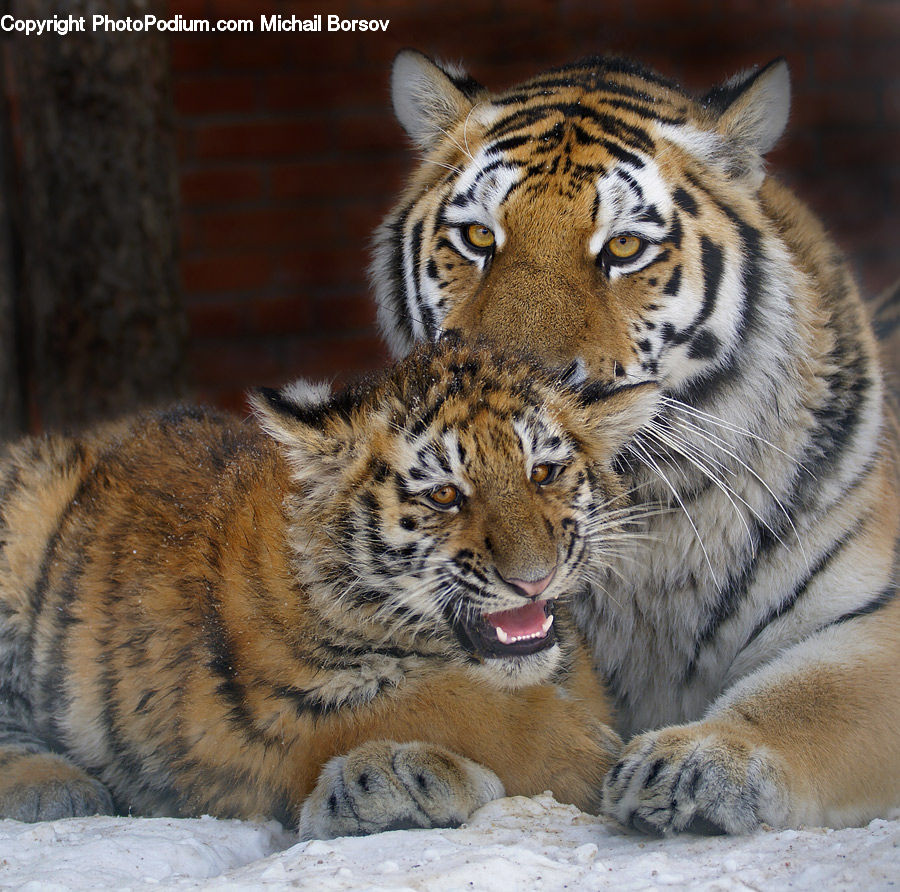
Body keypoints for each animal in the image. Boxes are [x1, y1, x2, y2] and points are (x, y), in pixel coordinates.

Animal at [0, 335, 658, 838]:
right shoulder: (259, 718)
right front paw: (593, 758)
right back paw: (53, 786)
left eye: (541, 472)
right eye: (445, 494)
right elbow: (448, 706)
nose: (533, 579)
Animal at [305, 51, 900, 837]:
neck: (640, 523)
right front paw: (393, 770)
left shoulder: (872, 616)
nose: (511, 393)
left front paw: (704, 759)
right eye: (479, 239)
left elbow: (808, 699)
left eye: (623, 247)